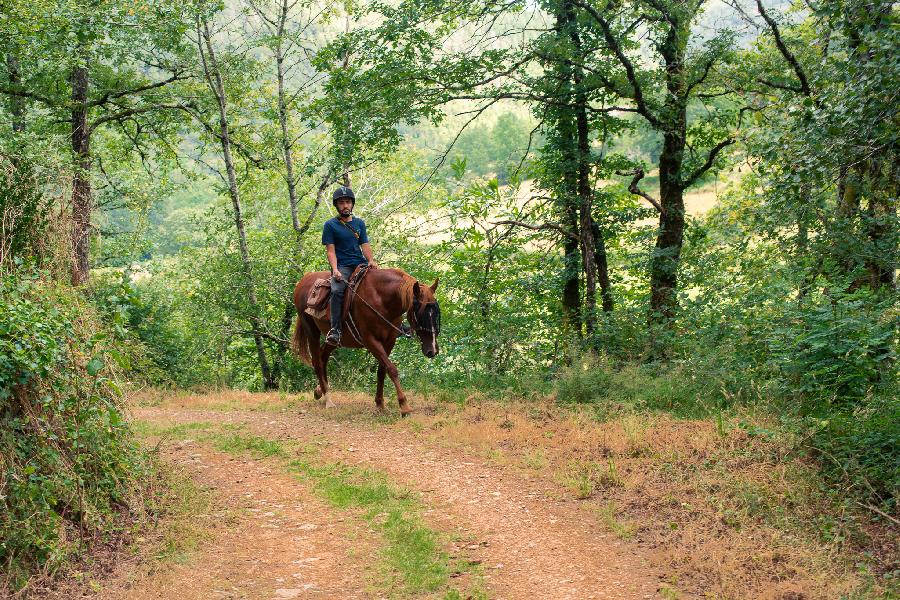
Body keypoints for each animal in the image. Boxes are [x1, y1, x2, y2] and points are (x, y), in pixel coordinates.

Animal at [290, 268, 442, 418]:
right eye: (420, 314)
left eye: (436, 314)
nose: (432, 350)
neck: (382, 300)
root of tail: (303, 281)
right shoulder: (370, 341)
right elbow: (392, 369)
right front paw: (404, 405)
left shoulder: (389, 342)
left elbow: (382, 371)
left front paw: (380, 404)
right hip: (311, 331)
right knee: (317, 362)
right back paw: (328, 399)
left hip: (333, 340)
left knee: (323, 356)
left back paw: (319, 390)